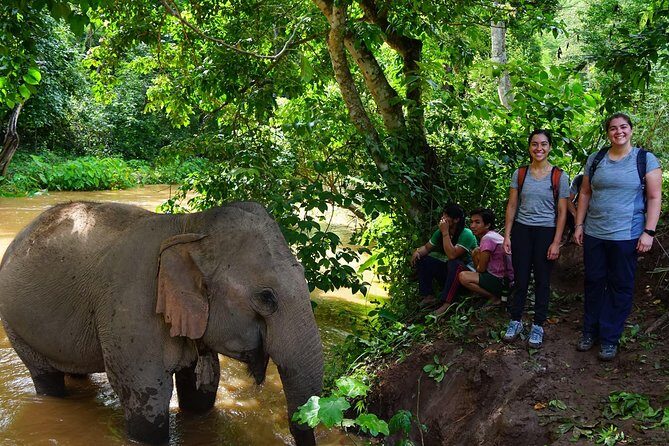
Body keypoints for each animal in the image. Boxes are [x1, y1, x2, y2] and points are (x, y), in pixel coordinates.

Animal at [0, 201, 323, 445]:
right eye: (266, 298)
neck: (189, 227)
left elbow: (201, 393)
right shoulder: (131, 311)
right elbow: (147, 402)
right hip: (13, 323)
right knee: (45, 378)